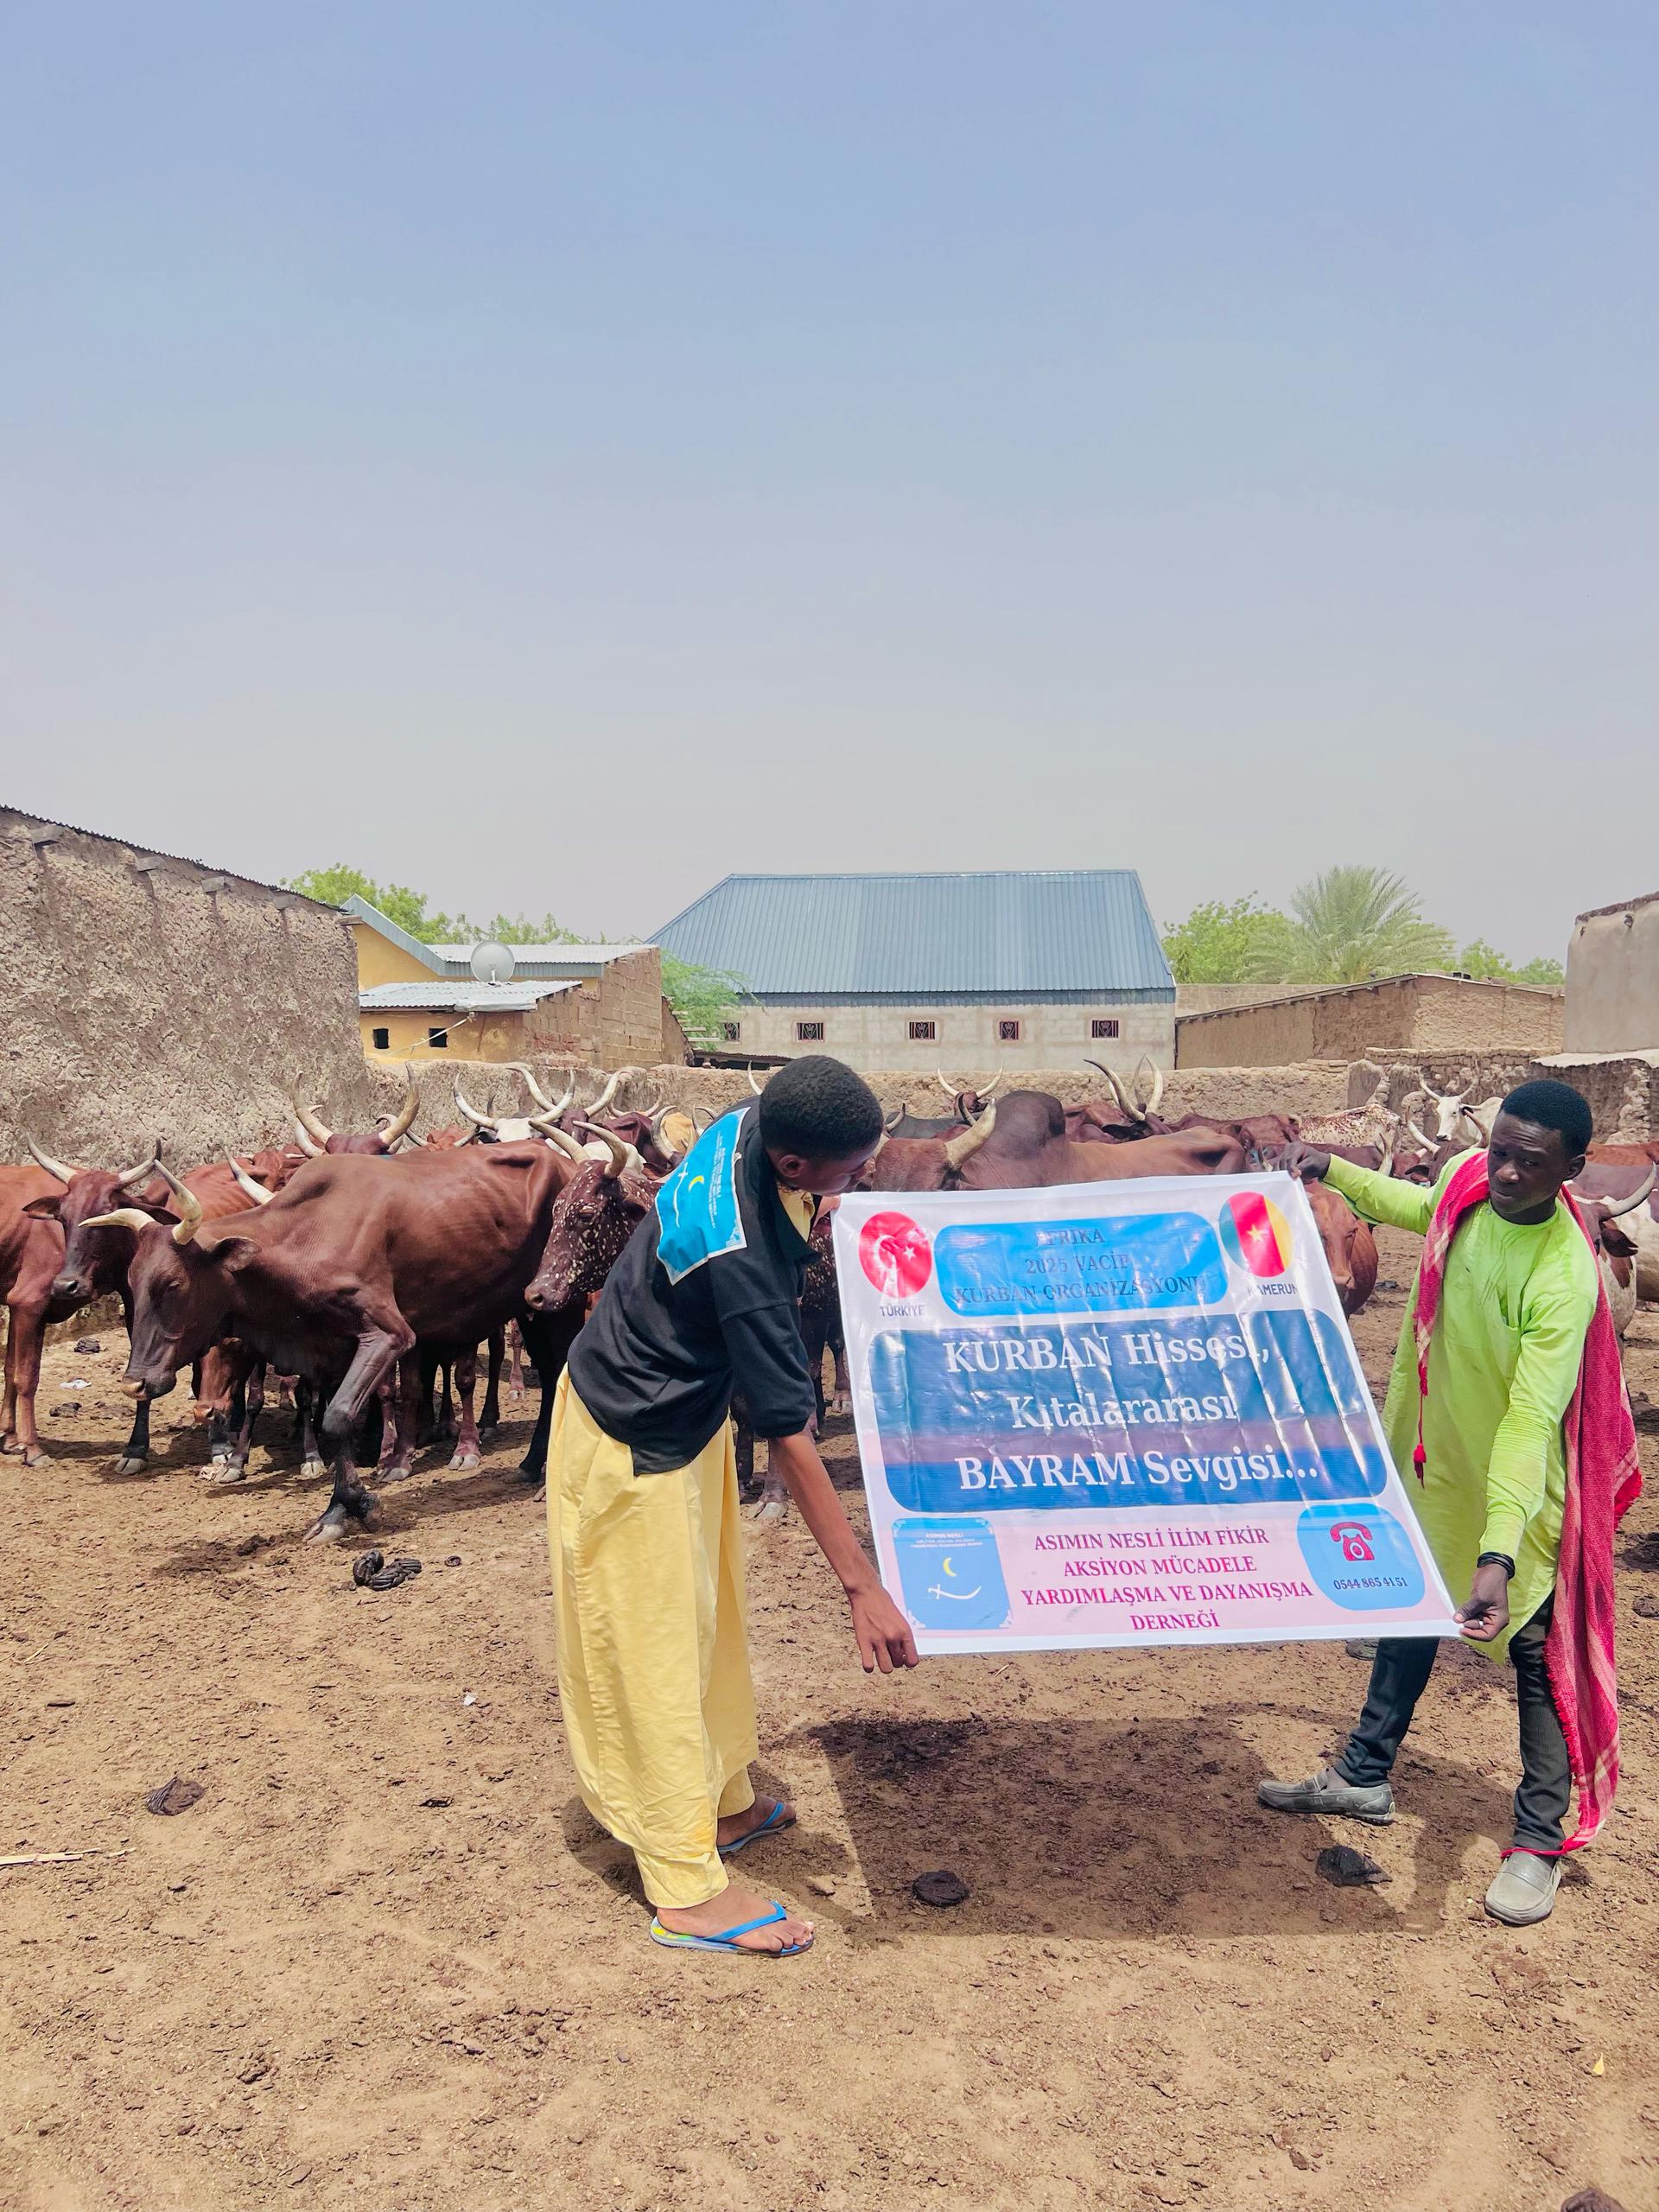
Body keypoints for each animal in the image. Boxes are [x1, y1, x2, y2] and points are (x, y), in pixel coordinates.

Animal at [89, 1142, 584, 1538]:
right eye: (132, 1281)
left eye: (173, 1284)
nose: (135, 1383)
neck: (304, 1239)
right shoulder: (334, 1349)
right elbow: (338, 1422)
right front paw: (337, 1511)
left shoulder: (389, 1334)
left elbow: (338, 1416)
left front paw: (361, 1502)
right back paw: (531, 1463)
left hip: (560, 1306)